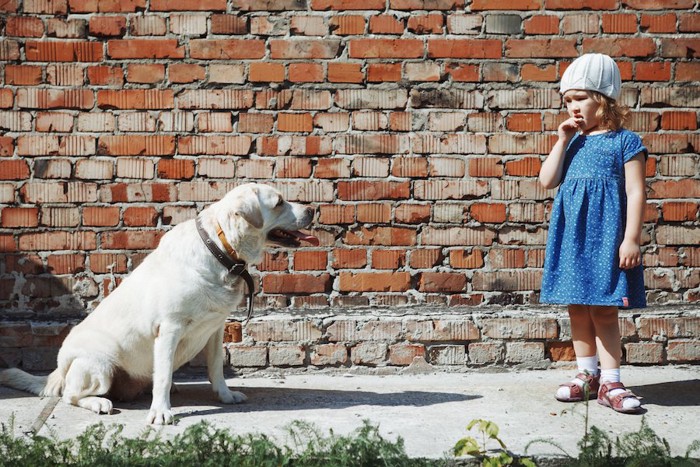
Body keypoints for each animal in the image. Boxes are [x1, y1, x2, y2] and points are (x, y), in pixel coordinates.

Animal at [0, 183, 318, 424]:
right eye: (279, 202)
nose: (313, 209)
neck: (221, 249)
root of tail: (58, 370)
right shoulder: (169, 329)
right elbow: (163, 375)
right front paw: (161, 413)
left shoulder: (215, 329)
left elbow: (216, 367)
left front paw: (225, 396)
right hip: (99, 366)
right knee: (70, 395)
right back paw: (99, 403)